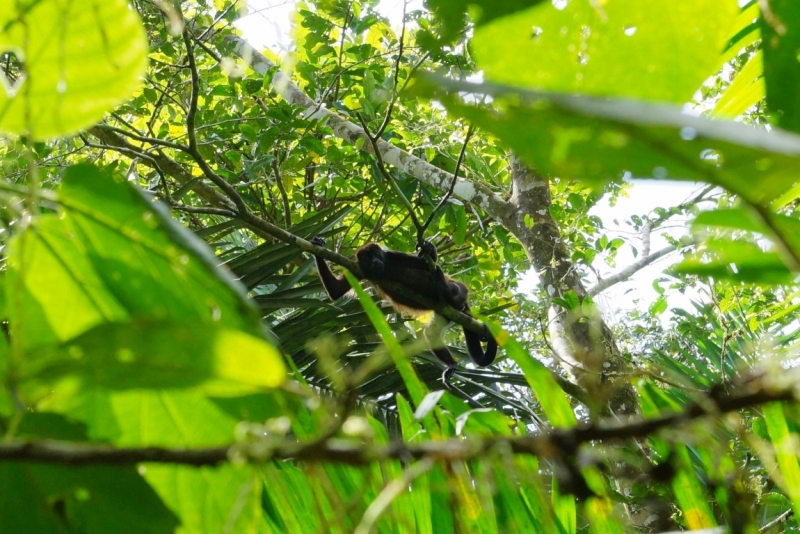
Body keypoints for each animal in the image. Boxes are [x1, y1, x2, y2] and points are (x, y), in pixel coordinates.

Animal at [310, 239, 496, 372]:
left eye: (376, 254)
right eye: (368, 258)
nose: (375, 261)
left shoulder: (392, 255)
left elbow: (428, 262)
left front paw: (429, 248)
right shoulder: (358, 268)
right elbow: (336, 291)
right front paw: (317, 248)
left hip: (461, 291)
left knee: (453, 287)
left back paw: (445, 287)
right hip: (445, 313)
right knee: (431, 333)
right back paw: (451, 364)